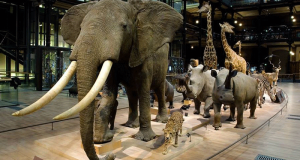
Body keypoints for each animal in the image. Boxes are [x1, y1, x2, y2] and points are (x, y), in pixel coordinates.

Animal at [12, 0, 183, 159]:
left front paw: (145, 138)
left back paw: (161, 120)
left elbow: (144, 91)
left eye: (124, 26)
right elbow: (109, 95)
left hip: (163, 64)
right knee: (131, 93)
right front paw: (102, 140)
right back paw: (130, 125)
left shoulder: (142, 51)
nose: (111, 155)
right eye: (81, 27)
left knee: (158, 89)